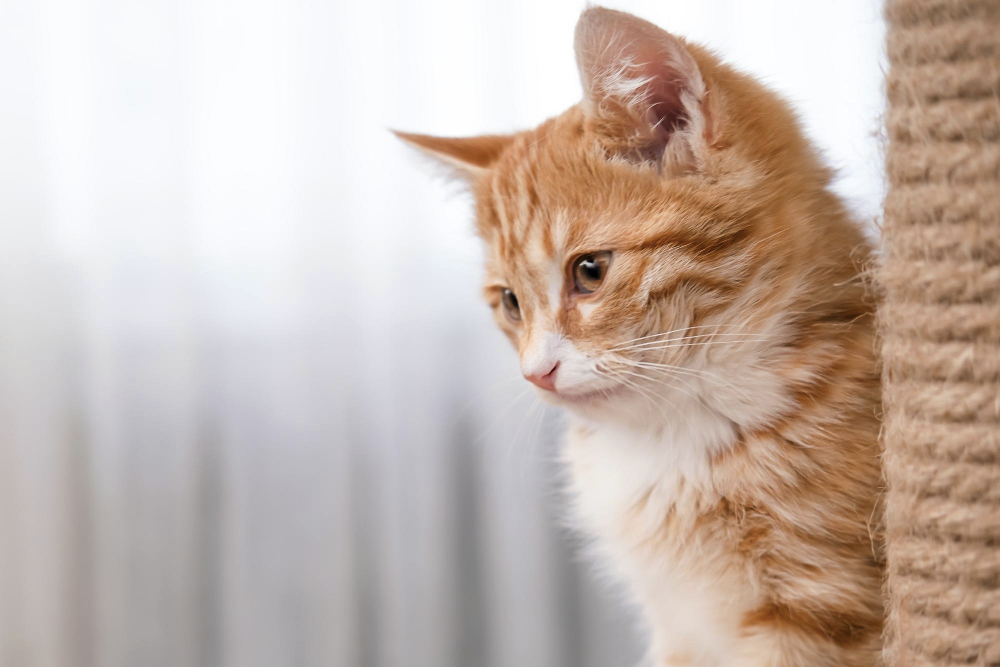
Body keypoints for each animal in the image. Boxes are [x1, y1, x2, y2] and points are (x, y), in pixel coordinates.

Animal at [398, 6, 884, 667]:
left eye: (589, 271)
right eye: (510, 303)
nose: (536, 373)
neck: (671, 435)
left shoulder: (824, 603)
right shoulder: (676, 627)